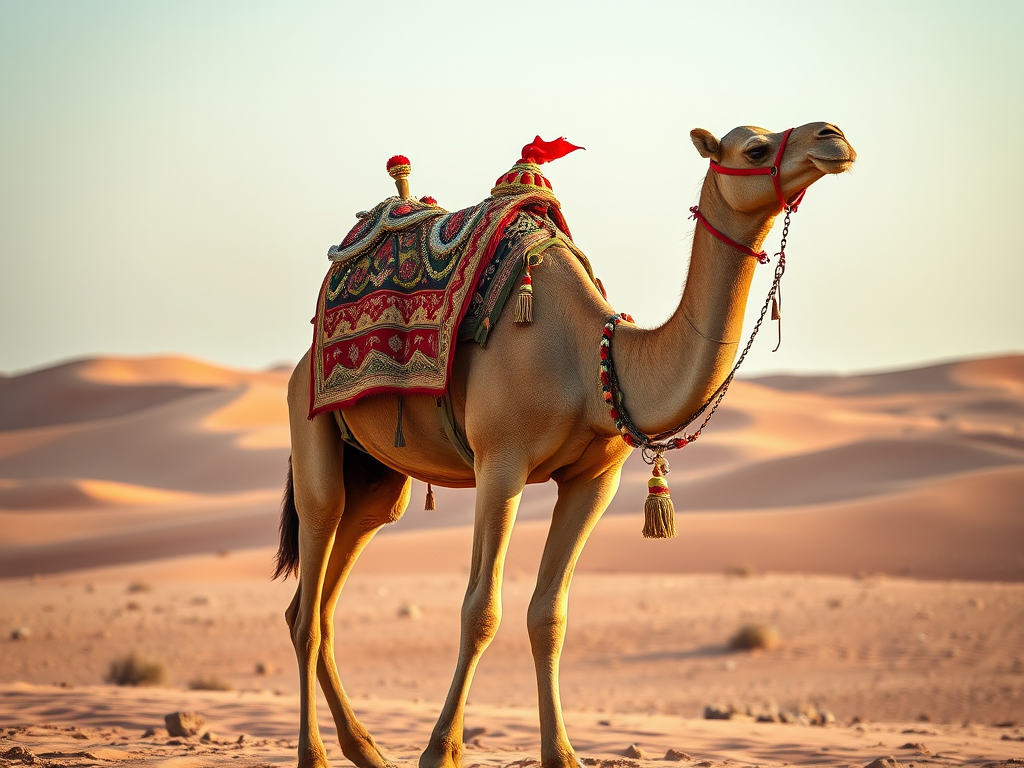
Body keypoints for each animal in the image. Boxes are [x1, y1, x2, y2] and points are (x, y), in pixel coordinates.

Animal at [275, 121, 856, 768]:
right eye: (754, 148)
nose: (833, 137)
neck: (591, 357)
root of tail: (303, 361)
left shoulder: (594, 480)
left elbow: (549, 615)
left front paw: (563, 754)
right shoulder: (501, 462)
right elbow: (480, 609)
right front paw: (441, 751)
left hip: (377, 481)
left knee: (325, 595)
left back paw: (365, 749)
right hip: (310, 428)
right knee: (309, 596)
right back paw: (314, 754)